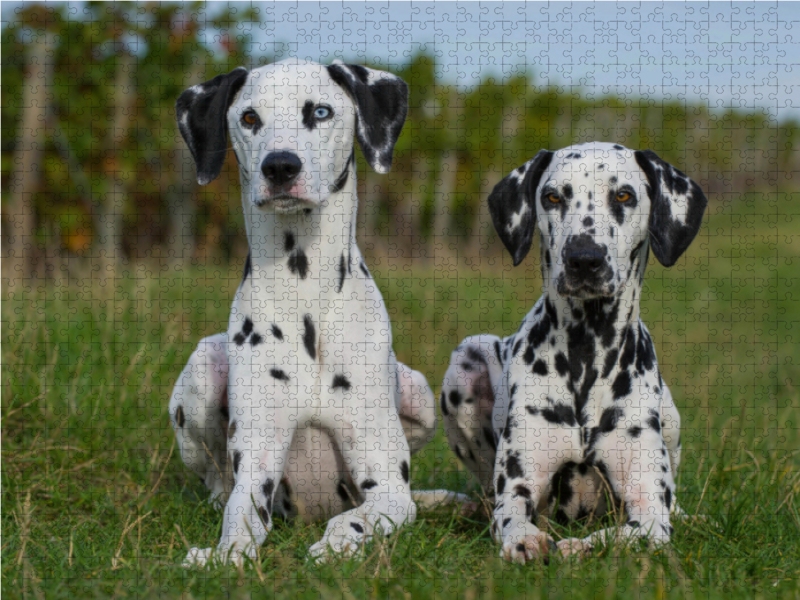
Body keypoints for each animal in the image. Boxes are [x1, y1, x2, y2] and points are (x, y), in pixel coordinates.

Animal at [169, 61, 450, 568]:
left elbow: (355, 517)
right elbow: (241, 514)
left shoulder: (390, 487)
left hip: (419, 394)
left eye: (319, 111)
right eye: (249, 117)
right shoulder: (257, 463)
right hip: (202, 367)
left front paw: (338, 545)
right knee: (218, 485)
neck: (306, 295)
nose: (280, 165)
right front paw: (225, 554)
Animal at [440, 142, 708, 564]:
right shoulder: (518, 486)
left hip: (670, 415)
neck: (587, 354)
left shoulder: (649, 508)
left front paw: (582, 546)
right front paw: (527, 540)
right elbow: (511, 517)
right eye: (553, 197)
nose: (584, 258)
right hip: (466, 362)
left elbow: (632, 532)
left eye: (623, 195)